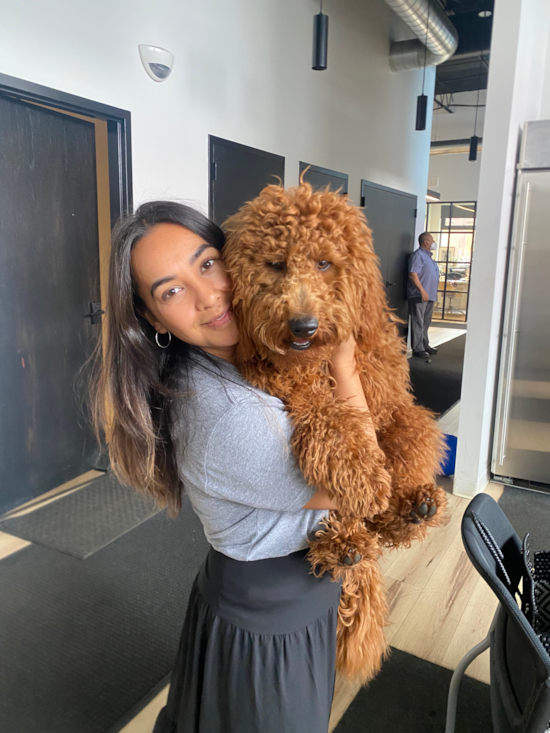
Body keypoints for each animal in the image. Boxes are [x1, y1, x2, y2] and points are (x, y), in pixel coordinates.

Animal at [223, 182, 448, 680]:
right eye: (275, 264)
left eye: (325, 262)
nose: (303, 325)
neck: (317, 357)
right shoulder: (279, 374)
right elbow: (328, 416)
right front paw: (361, 472)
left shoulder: (382, 390)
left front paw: (380, 485)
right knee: (351, 525)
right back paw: (342, 545)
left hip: (414, 425)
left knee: (396, 489)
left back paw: (413, 508)